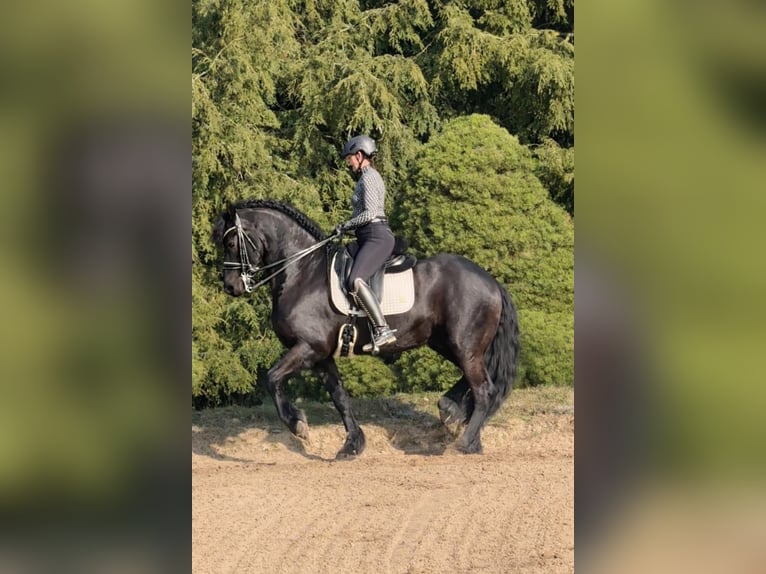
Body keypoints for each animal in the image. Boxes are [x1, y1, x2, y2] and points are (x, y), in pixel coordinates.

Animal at [213, 199, 520, 458]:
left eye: (230, 241)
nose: (231, 286)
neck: (303, 272)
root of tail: (491, 281)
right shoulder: (321, 356)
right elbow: (340, 398)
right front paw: (352, 444)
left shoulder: (308, 348)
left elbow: (272, 378)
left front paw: (297, 424)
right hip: (447, 343)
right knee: (474, 381)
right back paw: (452, 412)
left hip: (463, 345)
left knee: (484, 389)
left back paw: (464, 442)